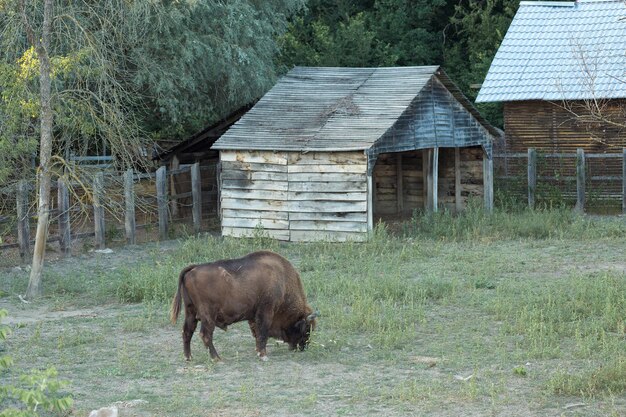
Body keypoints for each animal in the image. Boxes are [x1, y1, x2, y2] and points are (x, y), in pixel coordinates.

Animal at [169, 249, 316, 360]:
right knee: (205, 335)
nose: (304, 347)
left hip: (191, 312)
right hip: (207, 315)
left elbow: (256, 332)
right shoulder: (266, 311)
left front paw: (258, 350)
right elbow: (263, 331)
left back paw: (188, 358)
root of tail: (193, 269)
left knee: (187, 332)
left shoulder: (253, 315)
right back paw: (217, 358)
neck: (282, 281)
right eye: (306, 329)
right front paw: (263, 355)